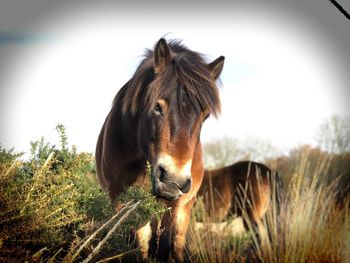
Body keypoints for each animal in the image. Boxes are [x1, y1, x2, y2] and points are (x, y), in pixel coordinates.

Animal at [95, 38, 224, 262]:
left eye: (205, 116)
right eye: (157, 107)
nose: (174, 181)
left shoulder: (179, 206)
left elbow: (171, 246)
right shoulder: (121, 202)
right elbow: (137, 247)